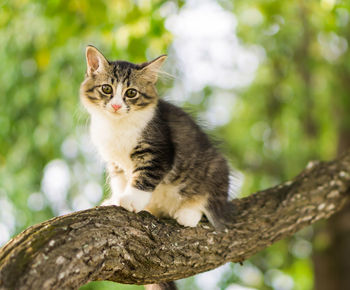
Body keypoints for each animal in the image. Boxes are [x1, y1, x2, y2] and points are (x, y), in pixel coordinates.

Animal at [79, 45, 238, 229]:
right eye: (106, 89)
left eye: (131, 93)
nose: (116, 106)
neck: (117, 125)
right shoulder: (115, 162)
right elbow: (119, 183)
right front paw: (116, 199)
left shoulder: (158, 150)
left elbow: (144, 177)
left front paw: (131, 200)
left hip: (215, 167)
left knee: (206, 200)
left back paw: (188, 214)